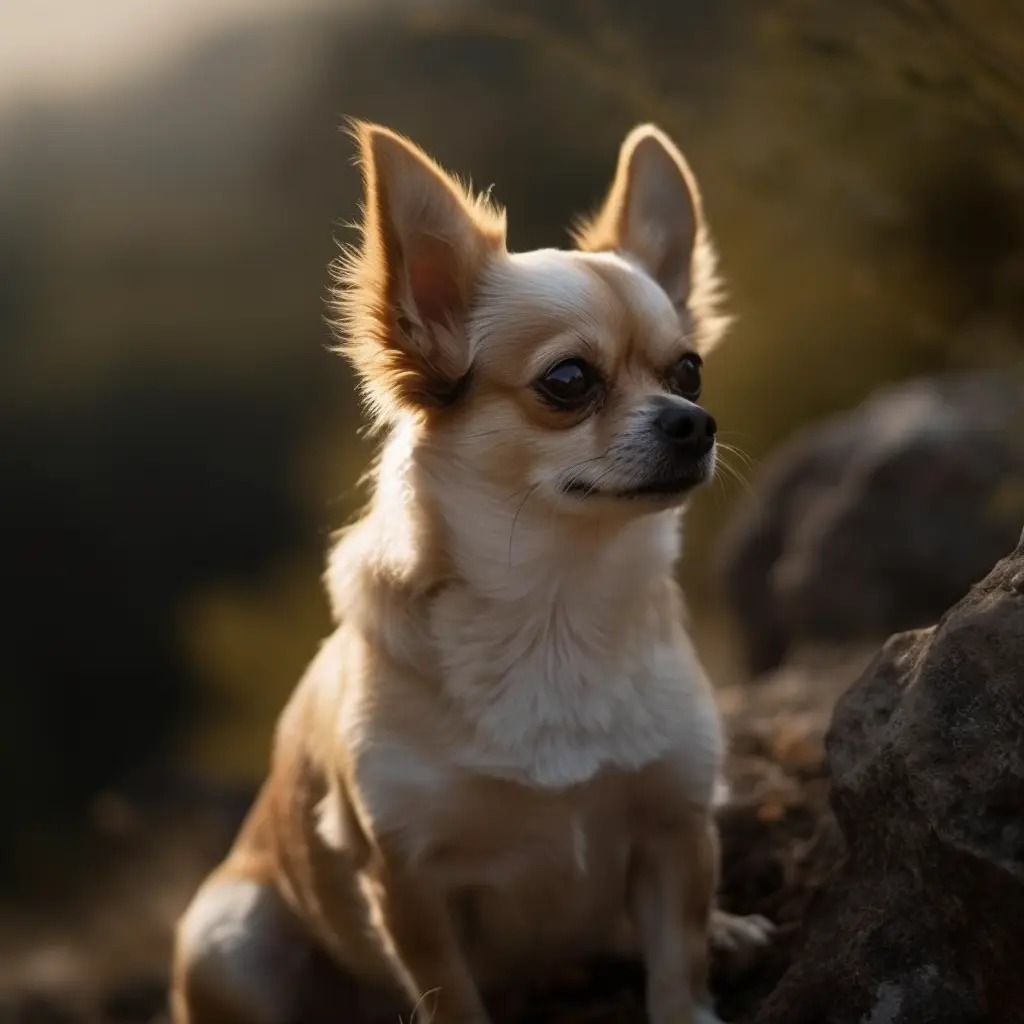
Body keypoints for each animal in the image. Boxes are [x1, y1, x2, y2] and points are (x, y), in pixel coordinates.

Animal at [172, 121, 770, 1024]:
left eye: (690, 370)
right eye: (569, 381)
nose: (695, 423)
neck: (554, 605)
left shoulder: (676, 829)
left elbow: (677, 969)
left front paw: (701, 966)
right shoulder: (409, 886)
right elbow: (450, 996)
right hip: (229, 936)